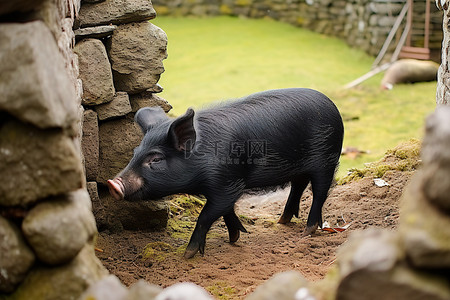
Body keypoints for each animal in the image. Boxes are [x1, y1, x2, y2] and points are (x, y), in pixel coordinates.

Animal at [108, 87, 344, 258]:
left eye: (155, 159)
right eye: (135, 152)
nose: (113, 184)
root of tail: (332, 105)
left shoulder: (227, 183)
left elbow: (207, 215)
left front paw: (188, 254)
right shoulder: (224, 186)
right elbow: (226, 210)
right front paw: (234, 237)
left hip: (327, 159)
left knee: (320, 193)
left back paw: (307, 231)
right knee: (298, 186)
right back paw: (282, 221)